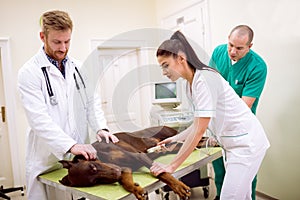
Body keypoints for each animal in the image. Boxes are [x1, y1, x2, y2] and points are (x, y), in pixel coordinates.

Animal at [58, 126, 211, 199]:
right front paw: (137, 190)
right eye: (95, 182)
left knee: (197, 138)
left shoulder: (138, 156)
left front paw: (179, 187)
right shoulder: (125, 168)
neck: (102, 156)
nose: (117, 173)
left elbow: (162, 174)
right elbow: (126, 182)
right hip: (171, 147)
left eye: (93, 166)